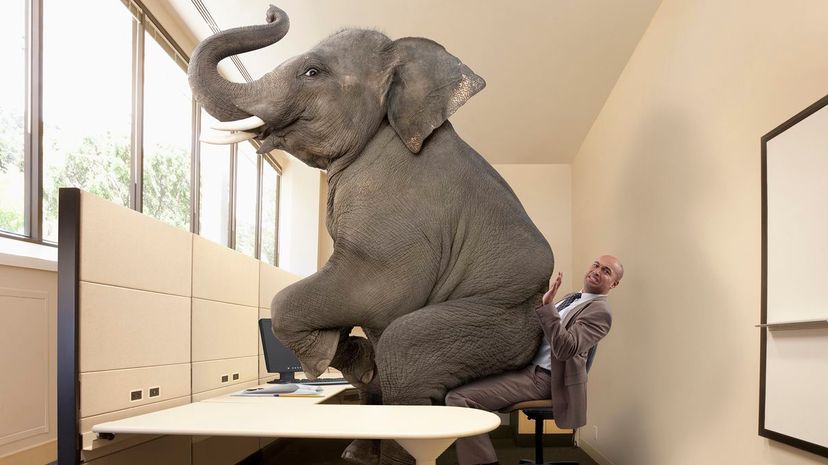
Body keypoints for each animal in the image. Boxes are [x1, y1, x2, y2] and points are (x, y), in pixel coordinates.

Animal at [188, 5, 553, 464]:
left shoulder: (395, 205)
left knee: (403, 354)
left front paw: (325, 357)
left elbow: (373, 291)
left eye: (312, 72)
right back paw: (358, 450)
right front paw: (354, 357)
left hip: (497, 321)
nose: (271, 11)